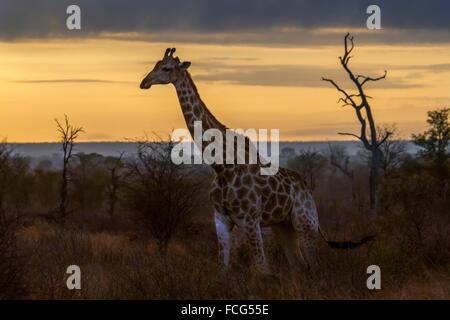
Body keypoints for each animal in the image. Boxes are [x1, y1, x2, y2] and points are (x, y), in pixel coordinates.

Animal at [141, 47, 372, 276]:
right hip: (283, 226)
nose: (144, 82)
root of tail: (307, 189)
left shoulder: (250, 220)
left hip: (306, 223)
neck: (222, 167)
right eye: (155, 64)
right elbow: (222, 270)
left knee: (314, 266)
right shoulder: (221, 220)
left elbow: (261, 269)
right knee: (298, 266)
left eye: (166, 68)